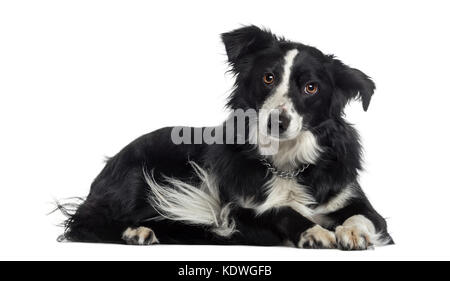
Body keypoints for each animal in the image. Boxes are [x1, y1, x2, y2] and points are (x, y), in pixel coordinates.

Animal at [59, 25, 394, 249]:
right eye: (268, 78)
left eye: (311, 88)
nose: (277, 121)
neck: (286, 163)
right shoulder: (238, 209)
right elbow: (280, 209)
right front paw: (314, 231)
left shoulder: (355, 200)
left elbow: (364, 217)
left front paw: (353, 232)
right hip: (138, 174)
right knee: (91, 223)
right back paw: (137, 231)